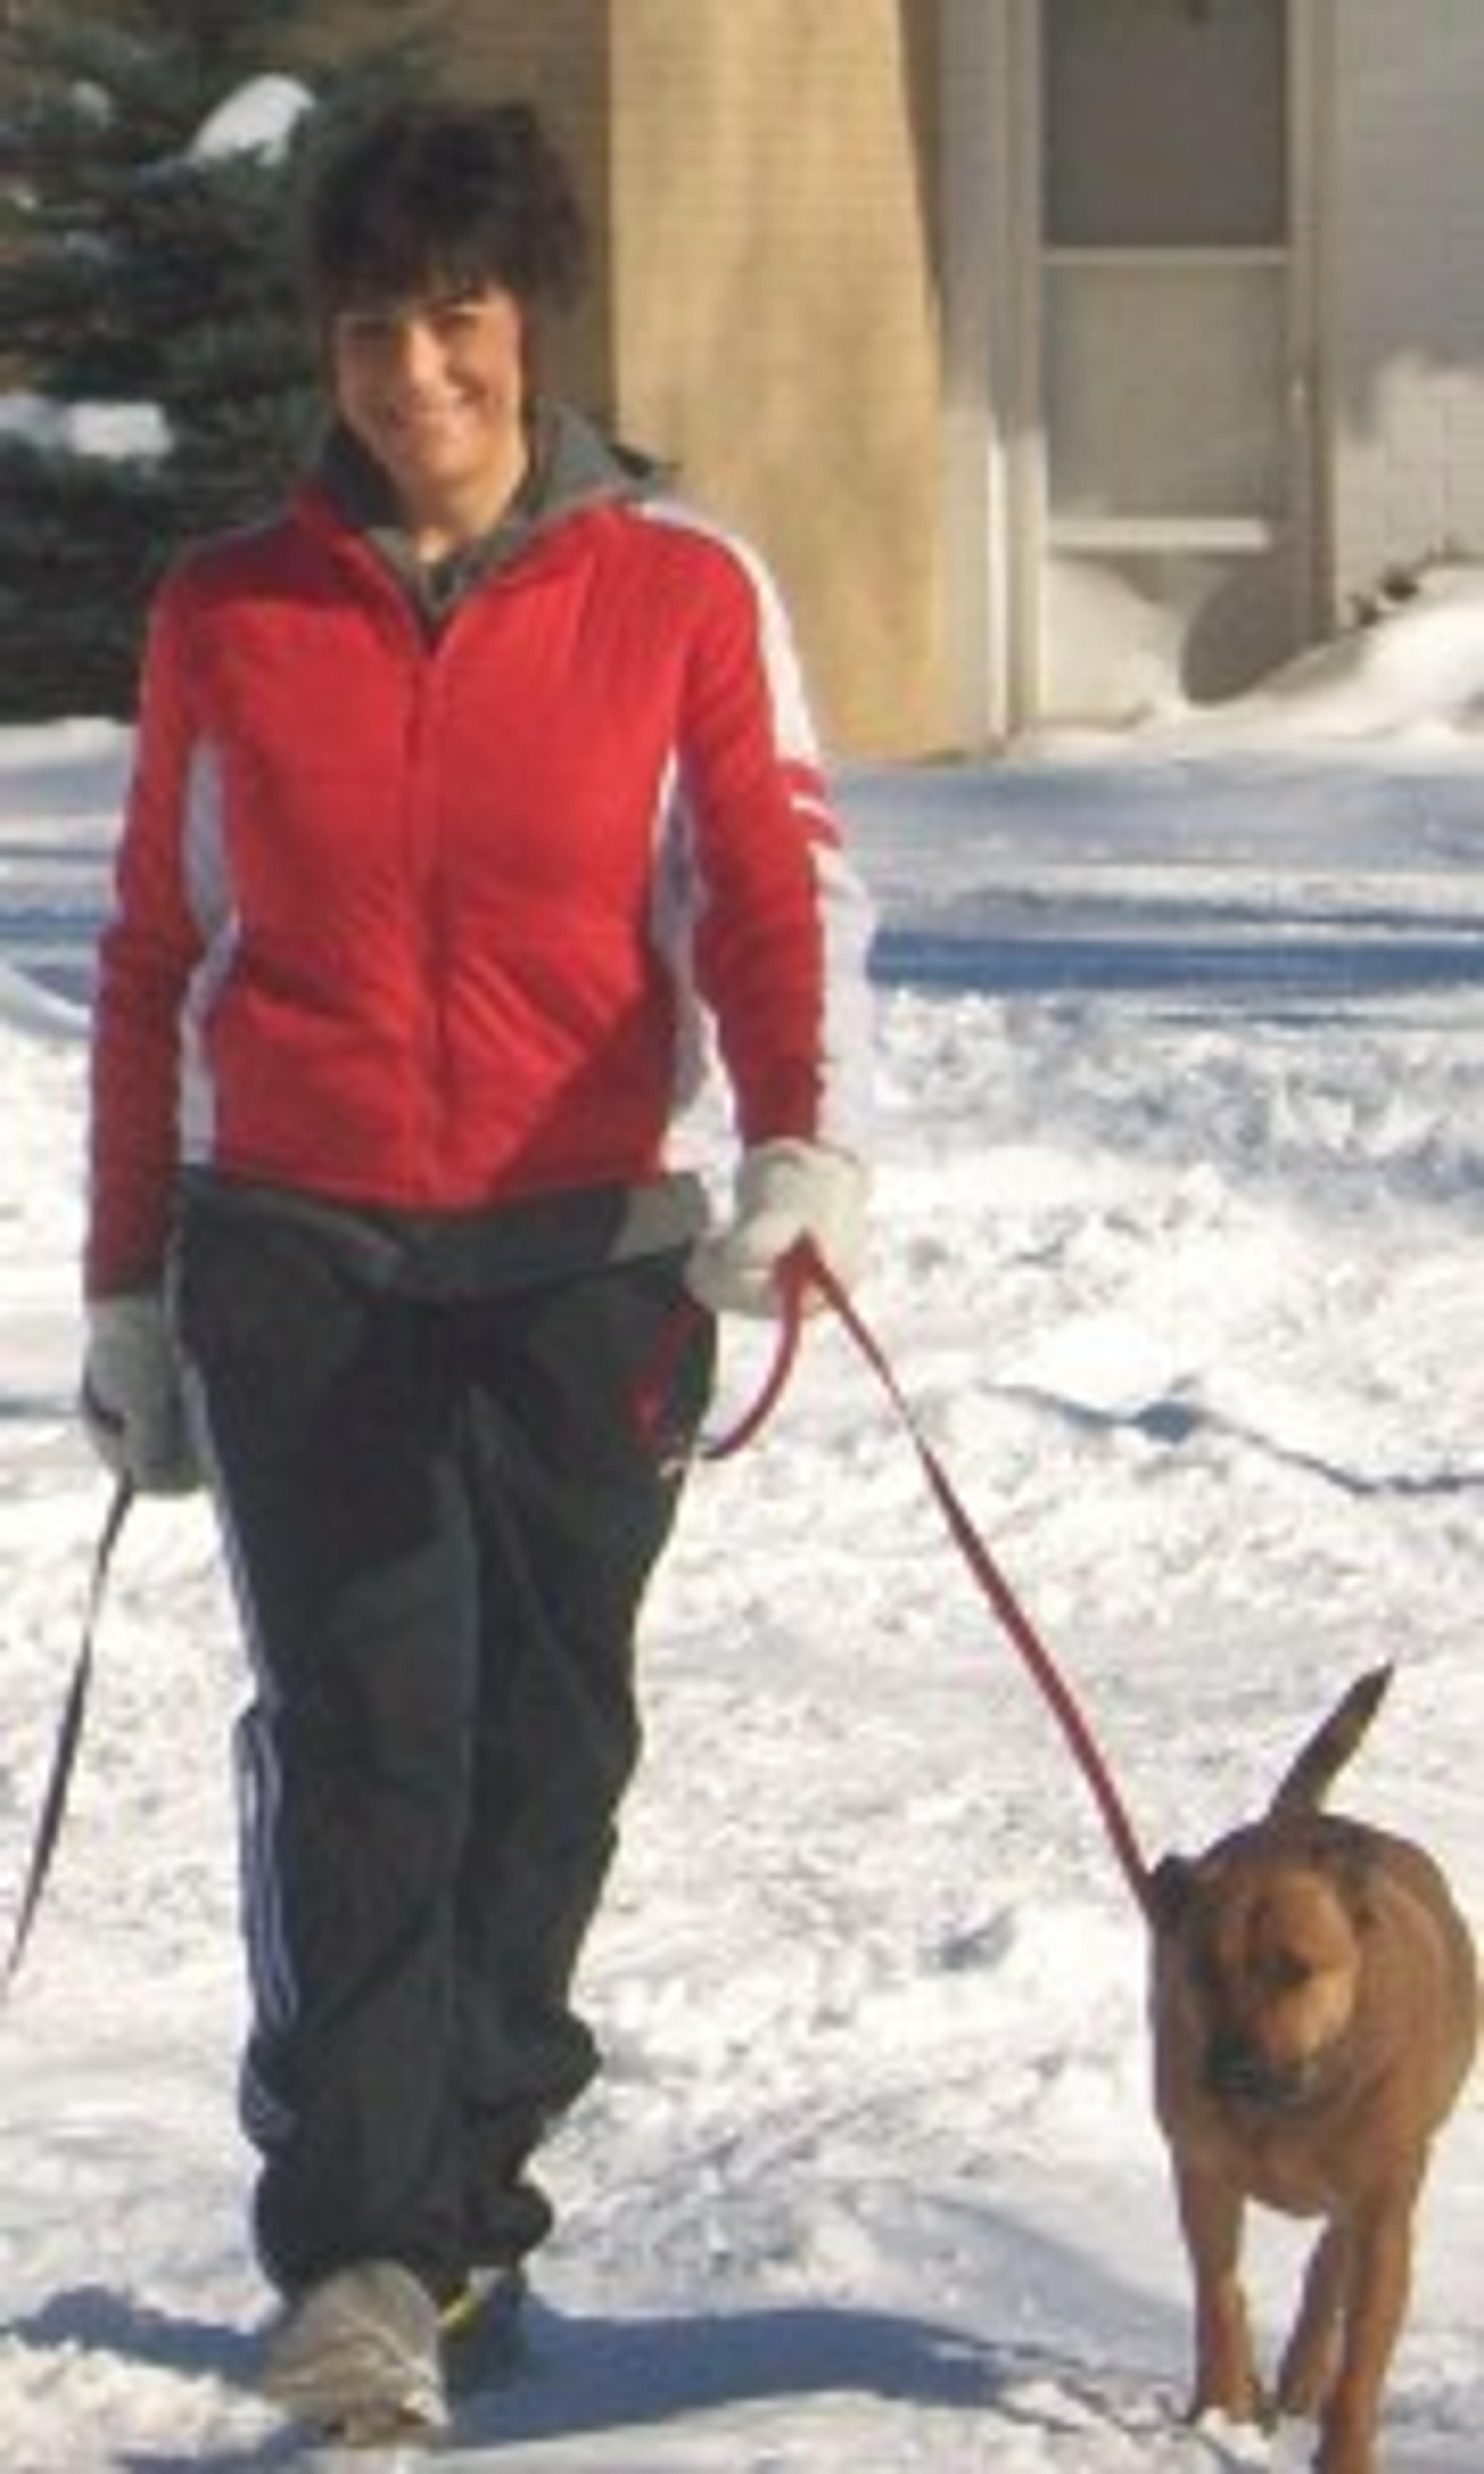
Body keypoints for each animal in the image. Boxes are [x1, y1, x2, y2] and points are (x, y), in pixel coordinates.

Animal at [1152, 1662, 1474, 2474]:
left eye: (1297, 1970)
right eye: (1203, 1971)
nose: (1235, 2071)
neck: (1294, 2100)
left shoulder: (1384, 2209)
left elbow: (1362, 2351)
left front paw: (1345, 2450)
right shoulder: (1203, 2170)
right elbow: (1218, 2294)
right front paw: (1219, 2412)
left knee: (1332, 2263)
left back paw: (1303, 2372)